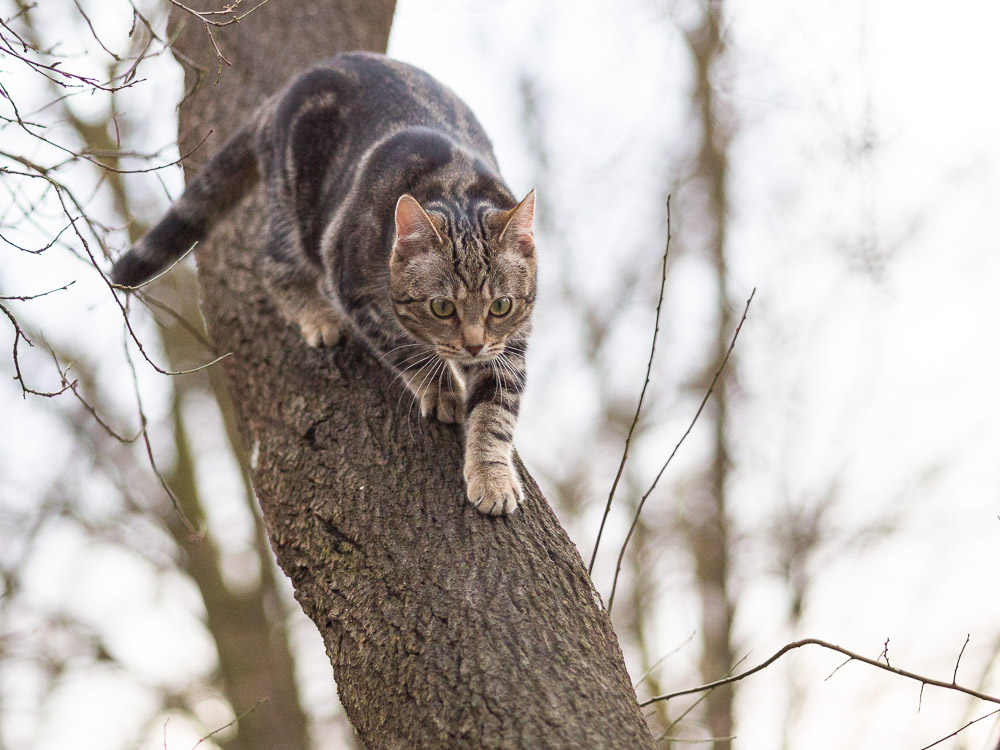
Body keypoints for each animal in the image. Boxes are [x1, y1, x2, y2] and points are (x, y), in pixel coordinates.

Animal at [110, 51, 536, 516]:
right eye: (442, 307)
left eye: (501, 306)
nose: (474, 346)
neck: (455, 187)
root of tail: (290, 85)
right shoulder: (352, 287)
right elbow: (404, 349)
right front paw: (439, 387)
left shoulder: (510, 345)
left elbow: (496, 413)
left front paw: (492, 476)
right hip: (295, 211)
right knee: (270, 263)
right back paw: (317, 316)